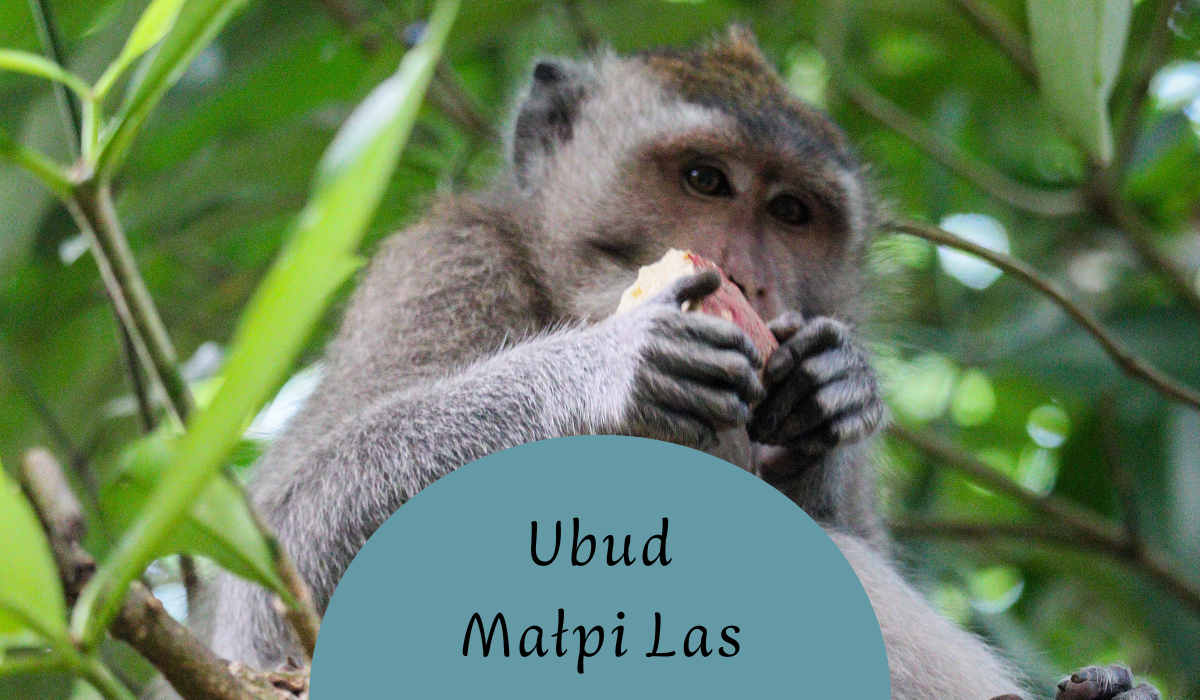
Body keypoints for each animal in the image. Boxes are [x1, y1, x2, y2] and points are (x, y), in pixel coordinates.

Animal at [187, 28, 1161, 700]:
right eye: (703, 180)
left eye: (792, 212)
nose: (747, 277)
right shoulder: (443, 263)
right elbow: (277, 572)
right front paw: (611, 373)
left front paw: (830, 397)